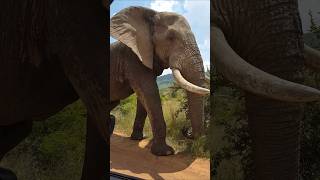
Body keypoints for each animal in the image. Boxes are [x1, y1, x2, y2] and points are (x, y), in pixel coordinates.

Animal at [109, 6, 210, 156]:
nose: (186, 131)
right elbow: (149, 92)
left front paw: (138, 138)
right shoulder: (133, 59)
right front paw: (165, 152)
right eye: (171, 37)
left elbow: (143, 97)